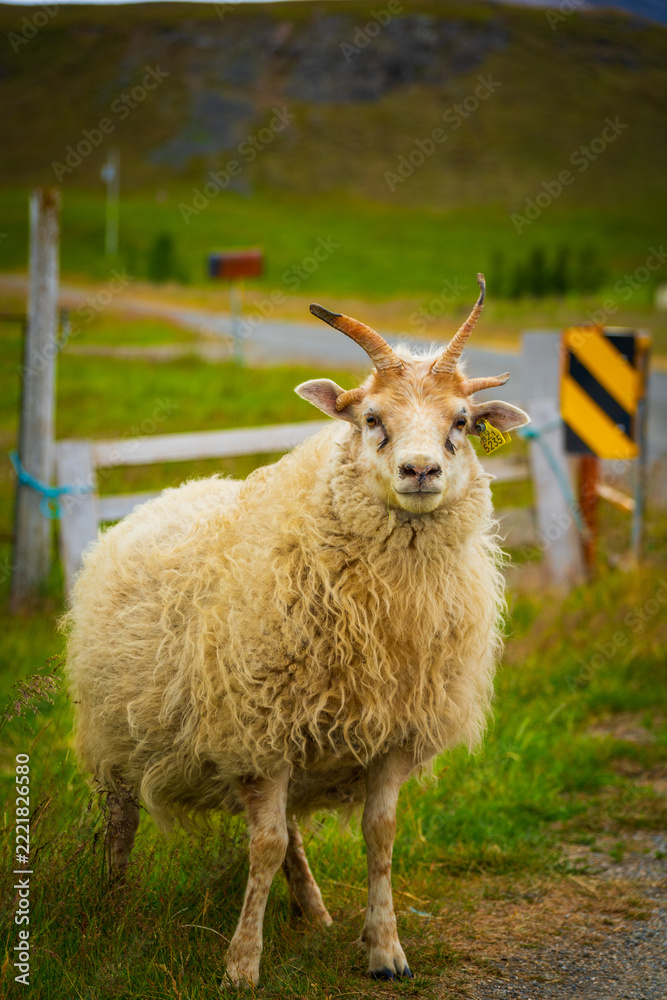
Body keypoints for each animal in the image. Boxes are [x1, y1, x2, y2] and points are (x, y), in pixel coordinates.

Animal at [65, 273, 529, 987]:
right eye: (372, 419)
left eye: (462, 422)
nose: (421, 471)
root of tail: (169, 493)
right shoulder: (258, 731)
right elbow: (263, 845)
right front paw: (241, 965)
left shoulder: (384, 731)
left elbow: (378, 837)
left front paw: (385, 949)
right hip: (115, 728)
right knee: (122, 818)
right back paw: (115, 905)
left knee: (290, 832)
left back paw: (312, 910)